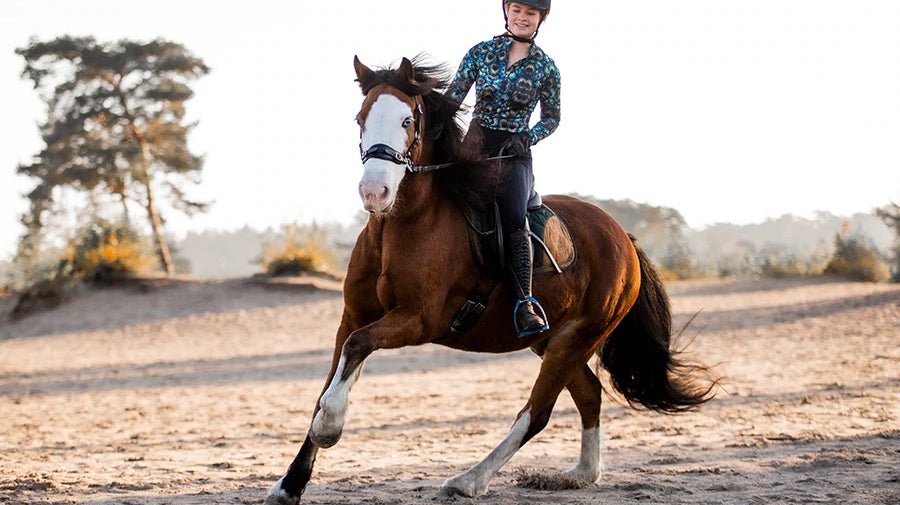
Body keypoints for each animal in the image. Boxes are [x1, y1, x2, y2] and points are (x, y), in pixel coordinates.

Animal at [264, 56, 717, 505]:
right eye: (360, 118)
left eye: (408, 121)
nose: (374, 191)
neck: (402, 225)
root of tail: (624, 238)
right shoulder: (353, 315)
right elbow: (329, 381)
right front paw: (289, 484)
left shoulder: (418, 320)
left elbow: (355, 352)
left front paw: (330, 427)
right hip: (553, 339)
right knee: (589, 396)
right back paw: (581, 474)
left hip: (577, 339)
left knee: (537, 413)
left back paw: (470, 479)